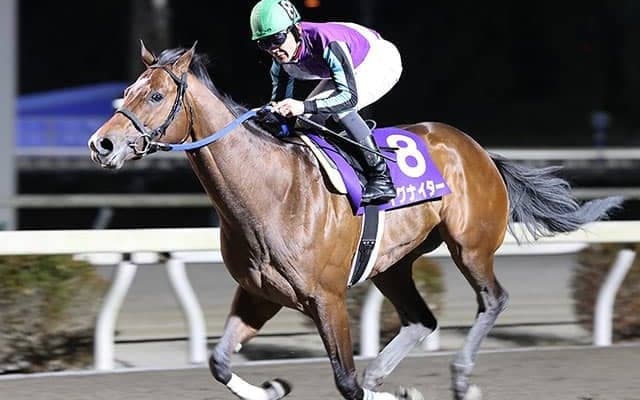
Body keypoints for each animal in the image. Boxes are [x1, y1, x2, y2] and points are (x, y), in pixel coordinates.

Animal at [88, 42, 622, 400]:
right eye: (127, 91)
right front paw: (274, 387)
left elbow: (345, 382)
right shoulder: (259, 293)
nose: (101, 144)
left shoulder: (328, 298)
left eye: (155, 97)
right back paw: (386, 375)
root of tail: (477, 149)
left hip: (469, 246)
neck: (271, 192)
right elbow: (218, 363)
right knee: (421, 319)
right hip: (393, 264)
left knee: (493, 299)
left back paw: (461, 377)